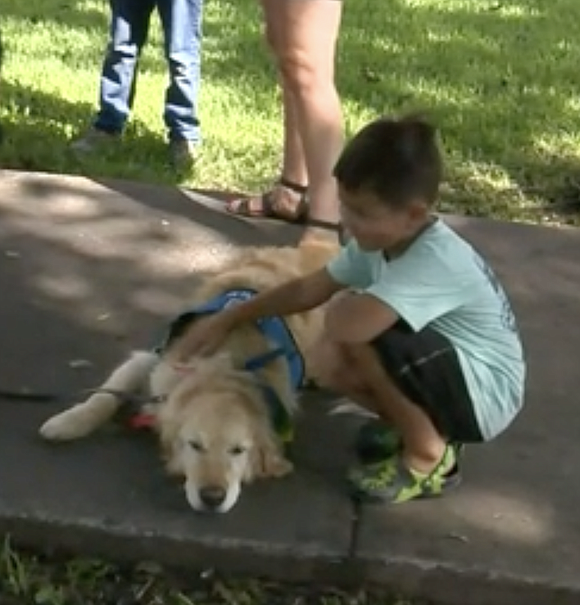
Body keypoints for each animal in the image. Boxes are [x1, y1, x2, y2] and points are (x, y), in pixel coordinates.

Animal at [38, 241, 338, 516]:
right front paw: (66, 423)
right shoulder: (155, 362)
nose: (212, 497)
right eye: (195, 445)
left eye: (238, 450)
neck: (227, 366)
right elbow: (104, 397)